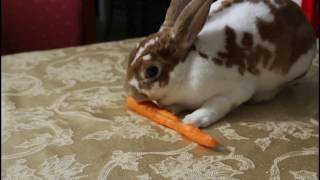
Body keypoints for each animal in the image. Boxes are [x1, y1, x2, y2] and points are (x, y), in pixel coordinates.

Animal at [125, 0, 318, 127]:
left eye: (151, 71)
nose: (132, 93)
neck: (187, 69)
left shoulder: (235, 90)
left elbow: (216, 105)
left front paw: (193, 120)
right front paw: (171, 110)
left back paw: (261, 97)